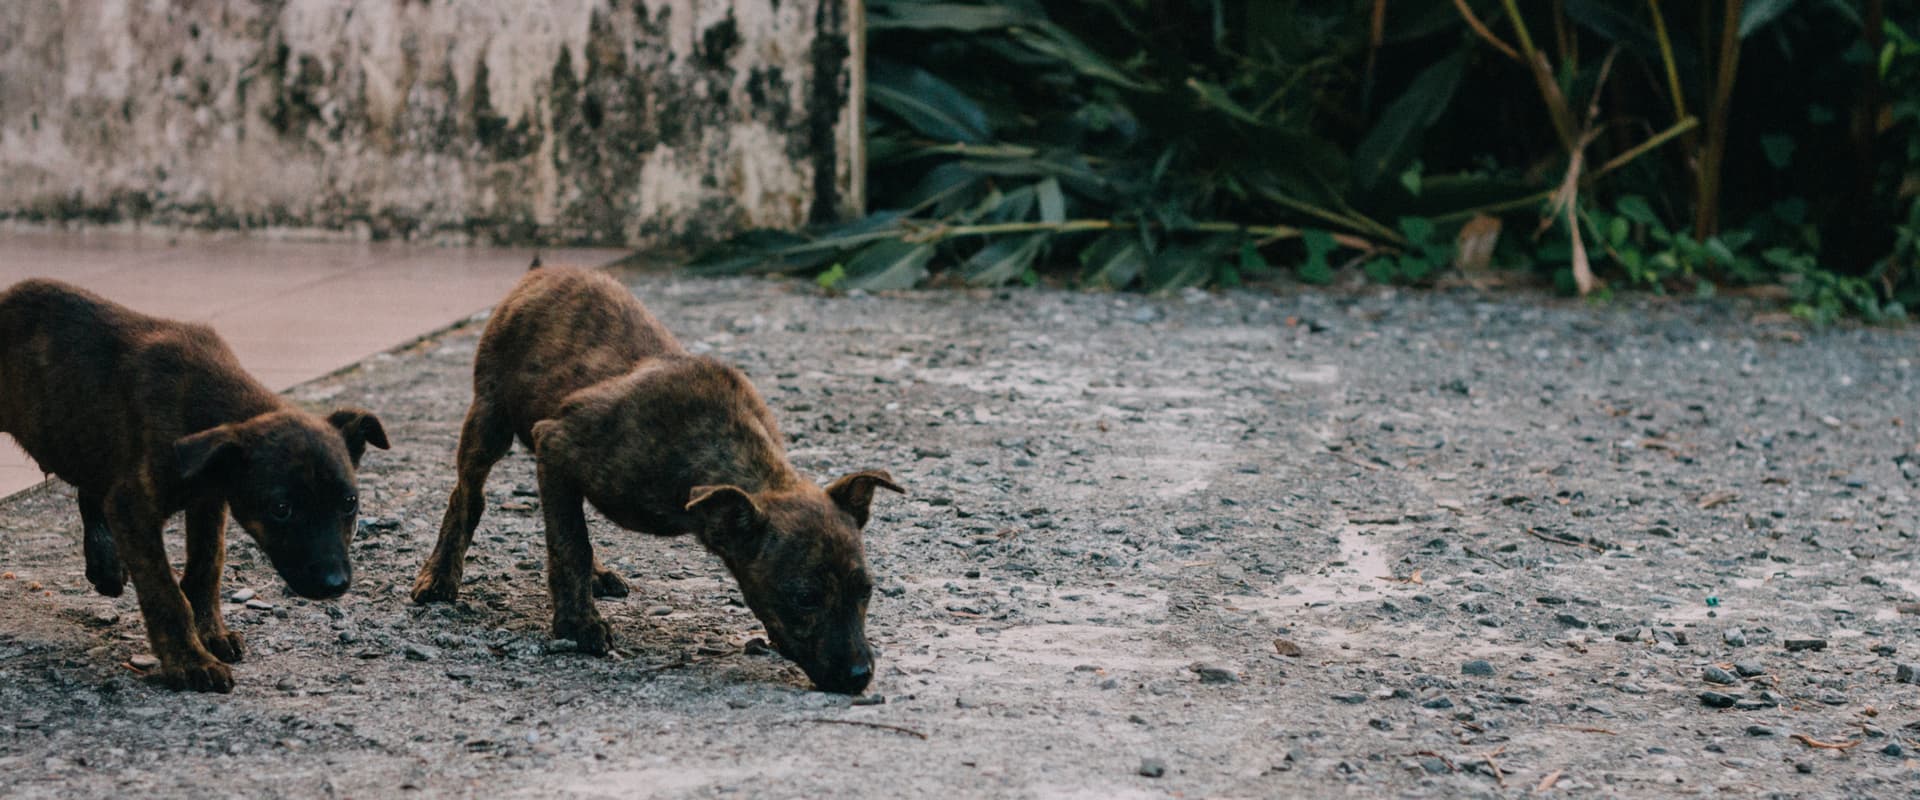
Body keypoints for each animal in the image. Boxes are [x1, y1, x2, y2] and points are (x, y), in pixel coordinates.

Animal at [0, 278, 389, 690]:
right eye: (281, 509)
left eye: (349, 502)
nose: (335, 584)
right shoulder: (134, 506)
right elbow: (164, 592)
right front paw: (189, 661)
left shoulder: (209, 499)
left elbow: (208, 564)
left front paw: (211, 633)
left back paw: (105, 564)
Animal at [410, 264, 890, 690]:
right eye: (804, 597)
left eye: (866, 591)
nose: (860, 676)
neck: (715, 447)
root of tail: (542, 272)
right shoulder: (557, 444)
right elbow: (570, 544)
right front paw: (577, 625)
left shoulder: (561, 466)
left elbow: (571, 534)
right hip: (489, 417)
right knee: (467, 496)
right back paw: (440, 576)